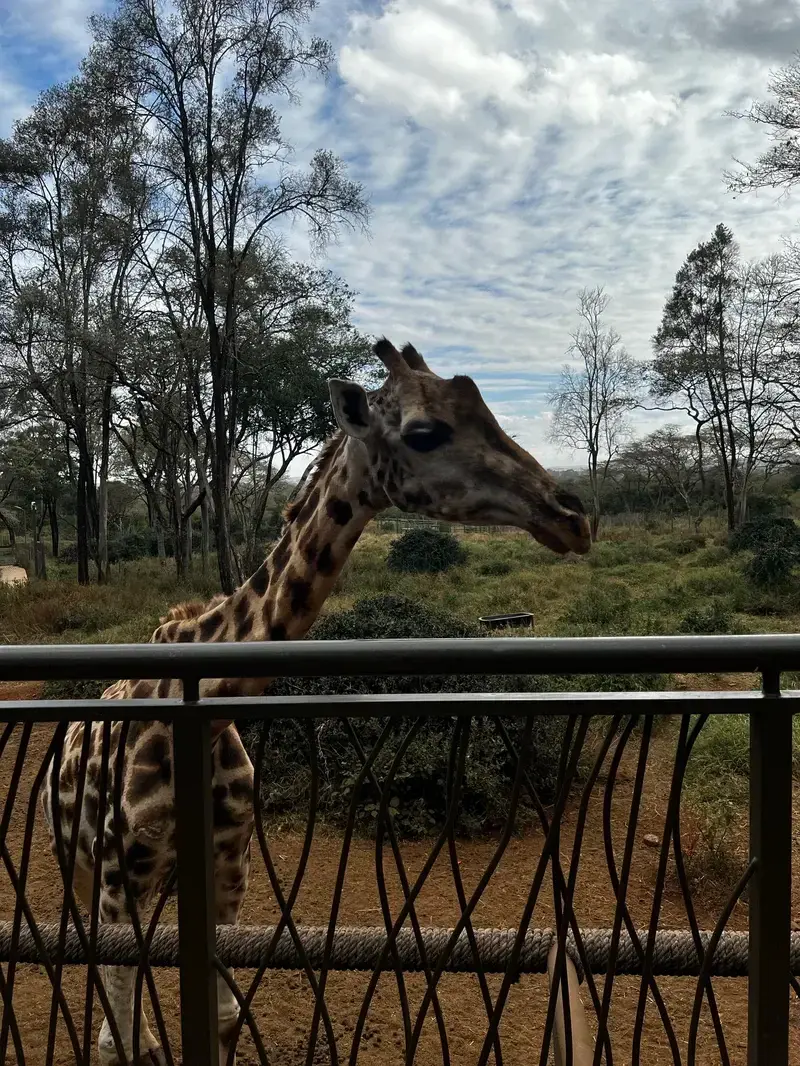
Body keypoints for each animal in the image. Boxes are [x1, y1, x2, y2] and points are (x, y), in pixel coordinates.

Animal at [40, 338, 591, 1066]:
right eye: (425, 431)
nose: (571, 515)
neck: (201, 720)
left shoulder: (228, 868)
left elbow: (222, 1013)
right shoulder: (116, 875)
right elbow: (120, 1032)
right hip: (82, 870)